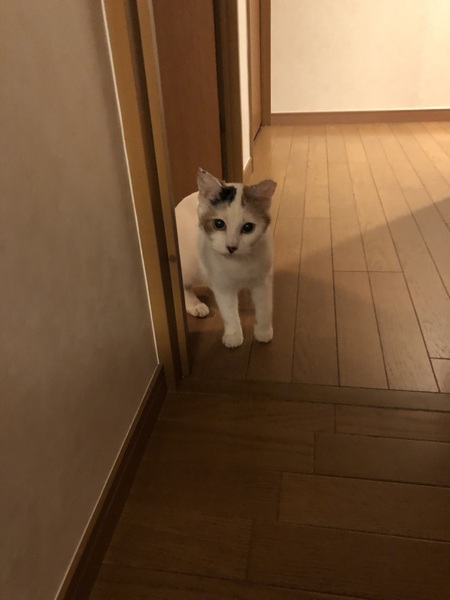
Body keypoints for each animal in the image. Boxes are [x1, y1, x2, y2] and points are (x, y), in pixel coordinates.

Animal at [175, 168, 277, 348]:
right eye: (219, 224)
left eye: (248, 227)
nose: (231, 247)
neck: (238, 263)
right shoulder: (222, 286)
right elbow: (229, 312)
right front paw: (233, 335)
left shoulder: (263, 281)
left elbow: (264, 308)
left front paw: (263, 331)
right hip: (188, 265)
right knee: (184, 286)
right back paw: (195, 304)